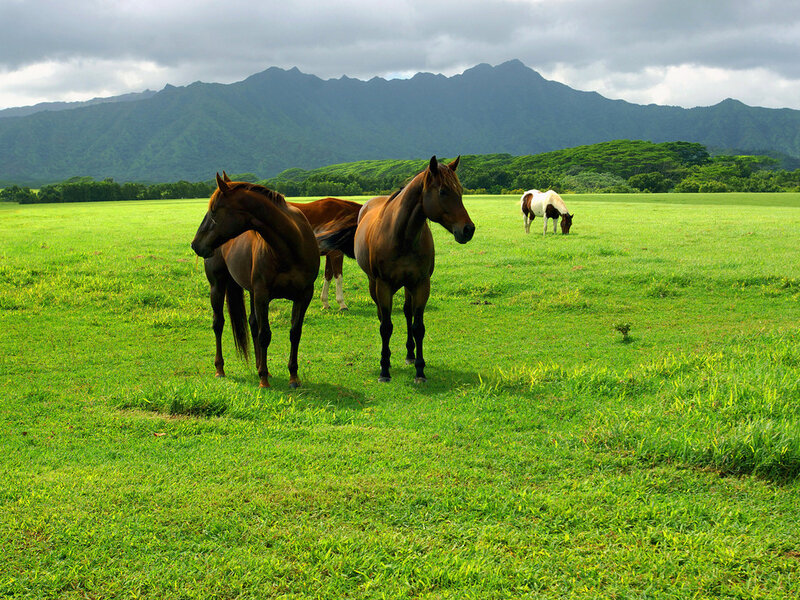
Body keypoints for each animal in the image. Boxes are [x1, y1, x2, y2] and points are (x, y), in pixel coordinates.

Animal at [190, 173, 320, 388]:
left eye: (214, 211)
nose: (195, 245)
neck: (291, 247)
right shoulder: (262, 294)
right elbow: (264, 334)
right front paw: (264, 380)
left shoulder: (304, 295)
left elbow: (295, 333)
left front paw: (293, 376)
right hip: (217, 286)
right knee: (219, 324)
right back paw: (220, 369)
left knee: (252, 323)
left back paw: (260, 366)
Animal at [321, 155, 475, 383]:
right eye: (443, 191)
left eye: (461, 190)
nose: (468, 229)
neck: (402, 237)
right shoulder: (383, 286)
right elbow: (386, 326)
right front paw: (384, 369)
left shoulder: (421, 284)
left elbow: (418, 327)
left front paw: (420, 369)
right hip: (374, 284)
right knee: (382, 316)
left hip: (408, 286)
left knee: (407, 313)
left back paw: (410, 355)